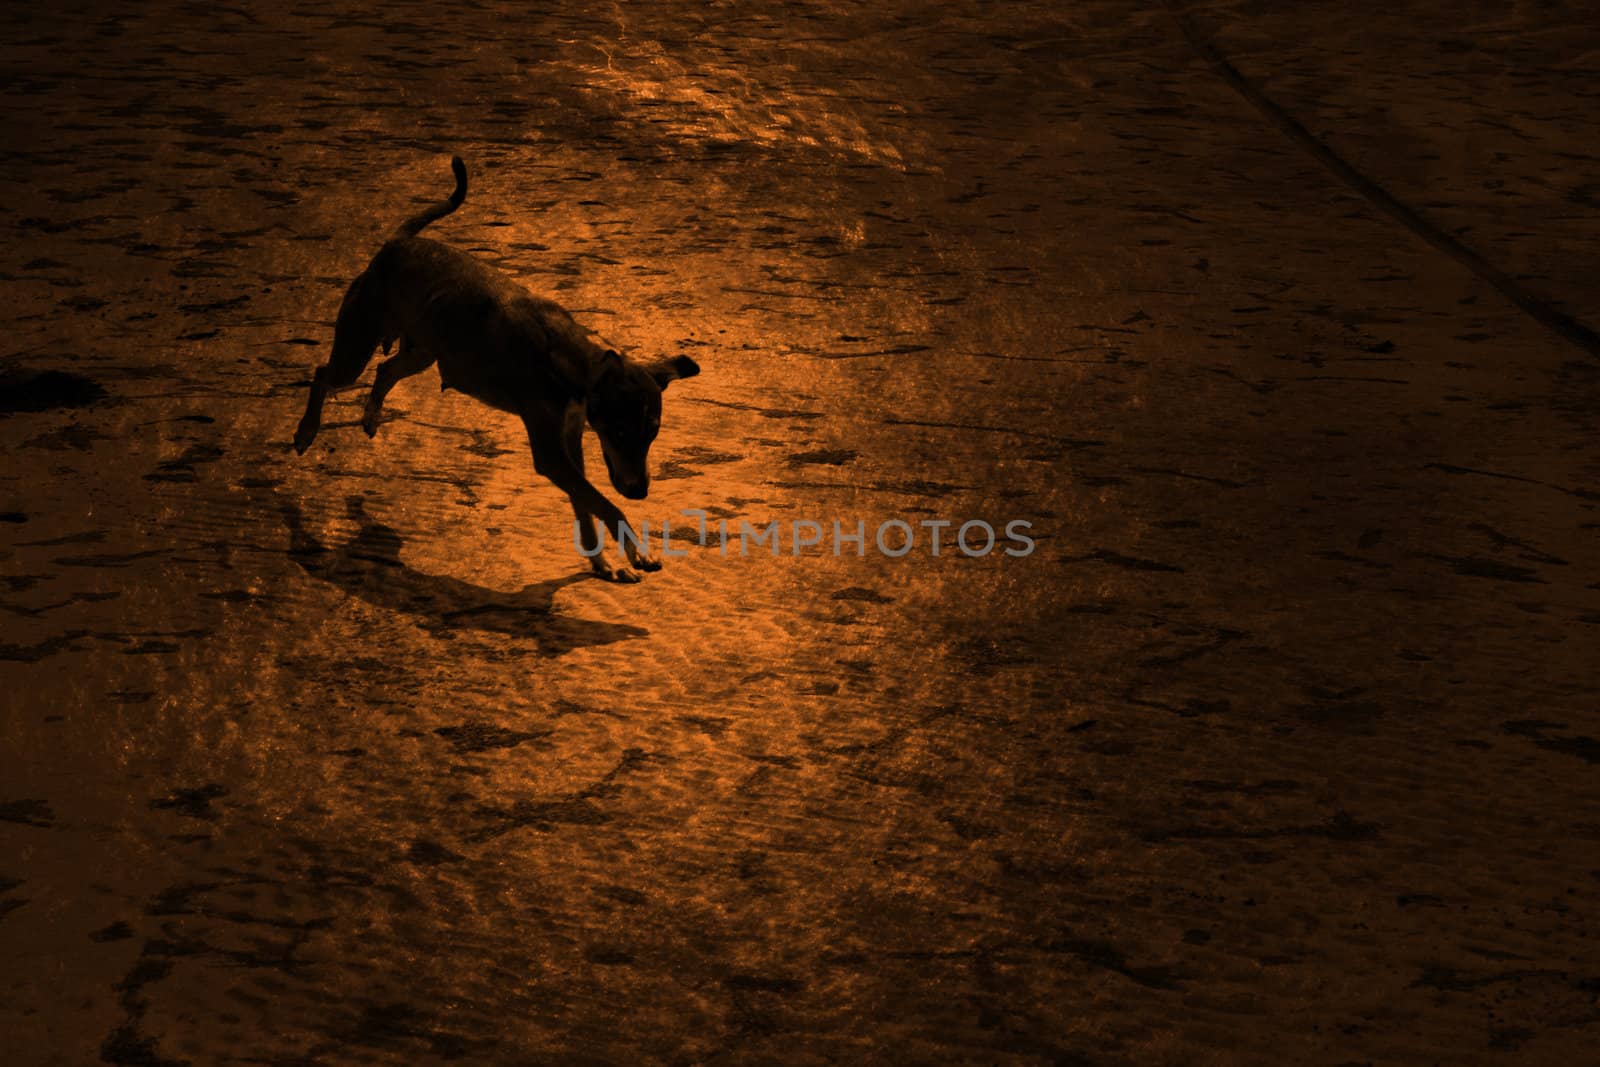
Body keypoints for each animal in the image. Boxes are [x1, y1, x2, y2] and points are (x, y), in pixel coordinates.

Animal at [292, 156, 700, 585]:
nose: (640, 492)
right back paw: (306, 431)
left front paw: (602, 561)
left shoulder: (570, 439)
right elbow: (603, 503)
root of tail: (396, 244)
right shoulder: (551, 455)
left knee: (386, 370)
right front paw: (636, 552)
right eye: (620, 432)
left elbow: (584, 503)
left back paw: (371, 415)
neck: (569, 358)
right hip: (356, 350)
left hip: (423, 353)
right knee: (323, 374)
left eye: (652, 433)